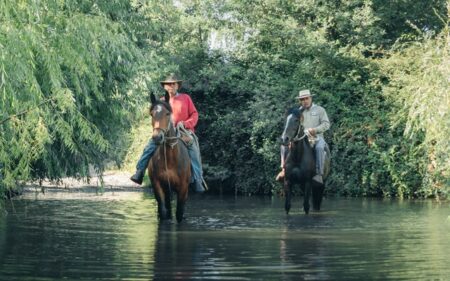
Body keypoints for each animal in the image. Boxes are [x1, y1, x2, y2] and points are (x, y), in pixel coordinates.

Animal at [148, 93, 190, 222]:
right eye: (152, 114)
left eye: (167, 113)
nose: (157, 137)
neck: (171, 160)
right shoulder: (158, 186)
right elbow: (163, 212)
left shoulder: (183, 188)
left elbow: (179, 213)